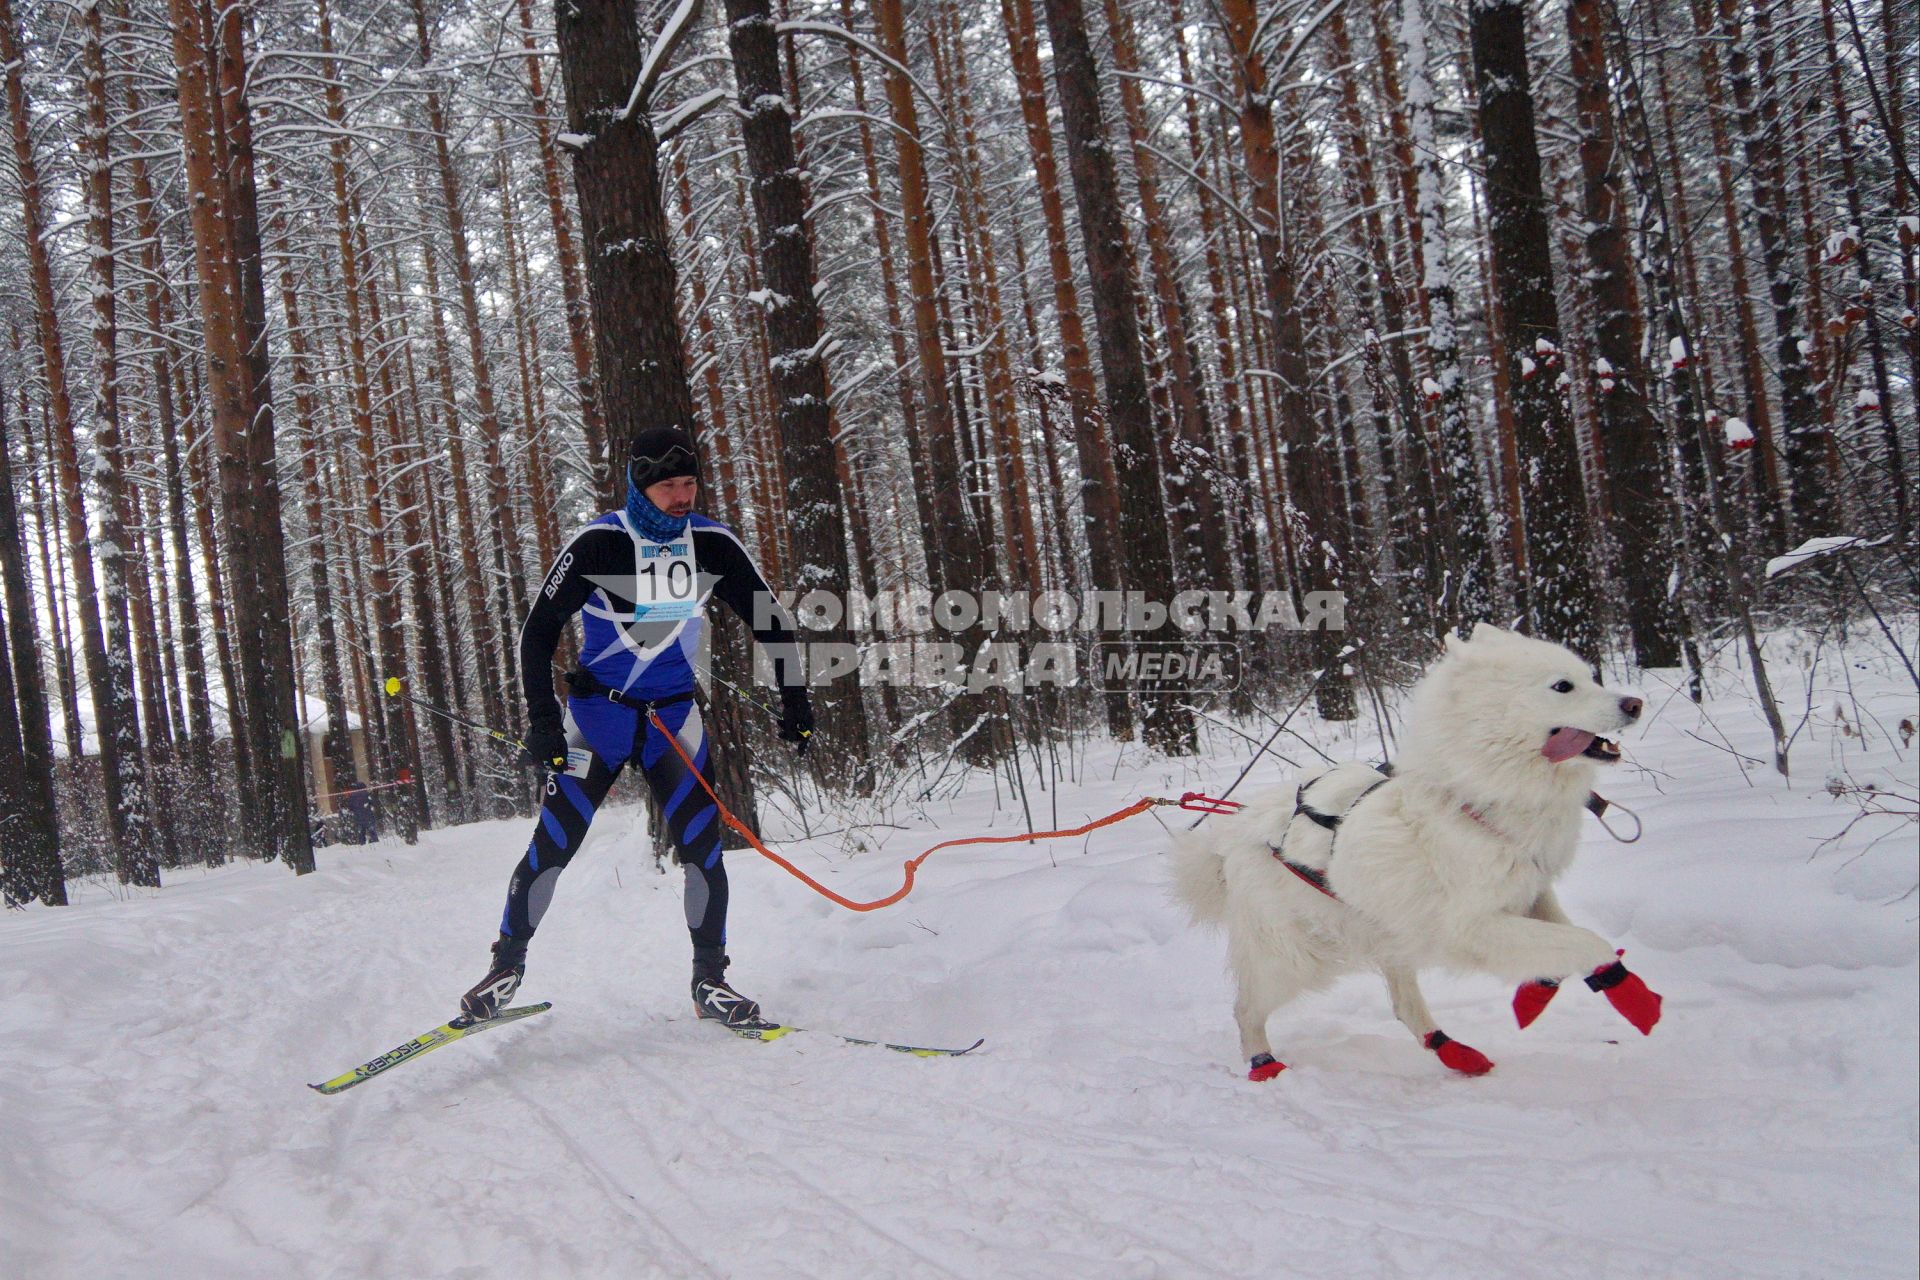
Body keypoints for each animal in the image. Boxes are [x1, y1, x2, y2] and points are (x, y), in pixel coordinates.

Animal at [1167, 621, 1666, 1082]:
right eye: (1563, 686)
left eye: (1591, 677)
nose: (1634, 703)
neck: (1477, 797)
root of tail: (1233, 836)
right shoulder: (1473, 926)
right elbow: (1587, 942)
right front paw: (1624, 999)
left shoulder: (1532, 893)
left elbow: (1577, 944)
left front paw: (1569, 993)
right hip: (1296, 957)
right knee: (1246, 1009)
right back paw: (1263, 1064)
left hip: (1389, 934)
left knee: (1405, 1007)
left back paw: (1455, 1052)